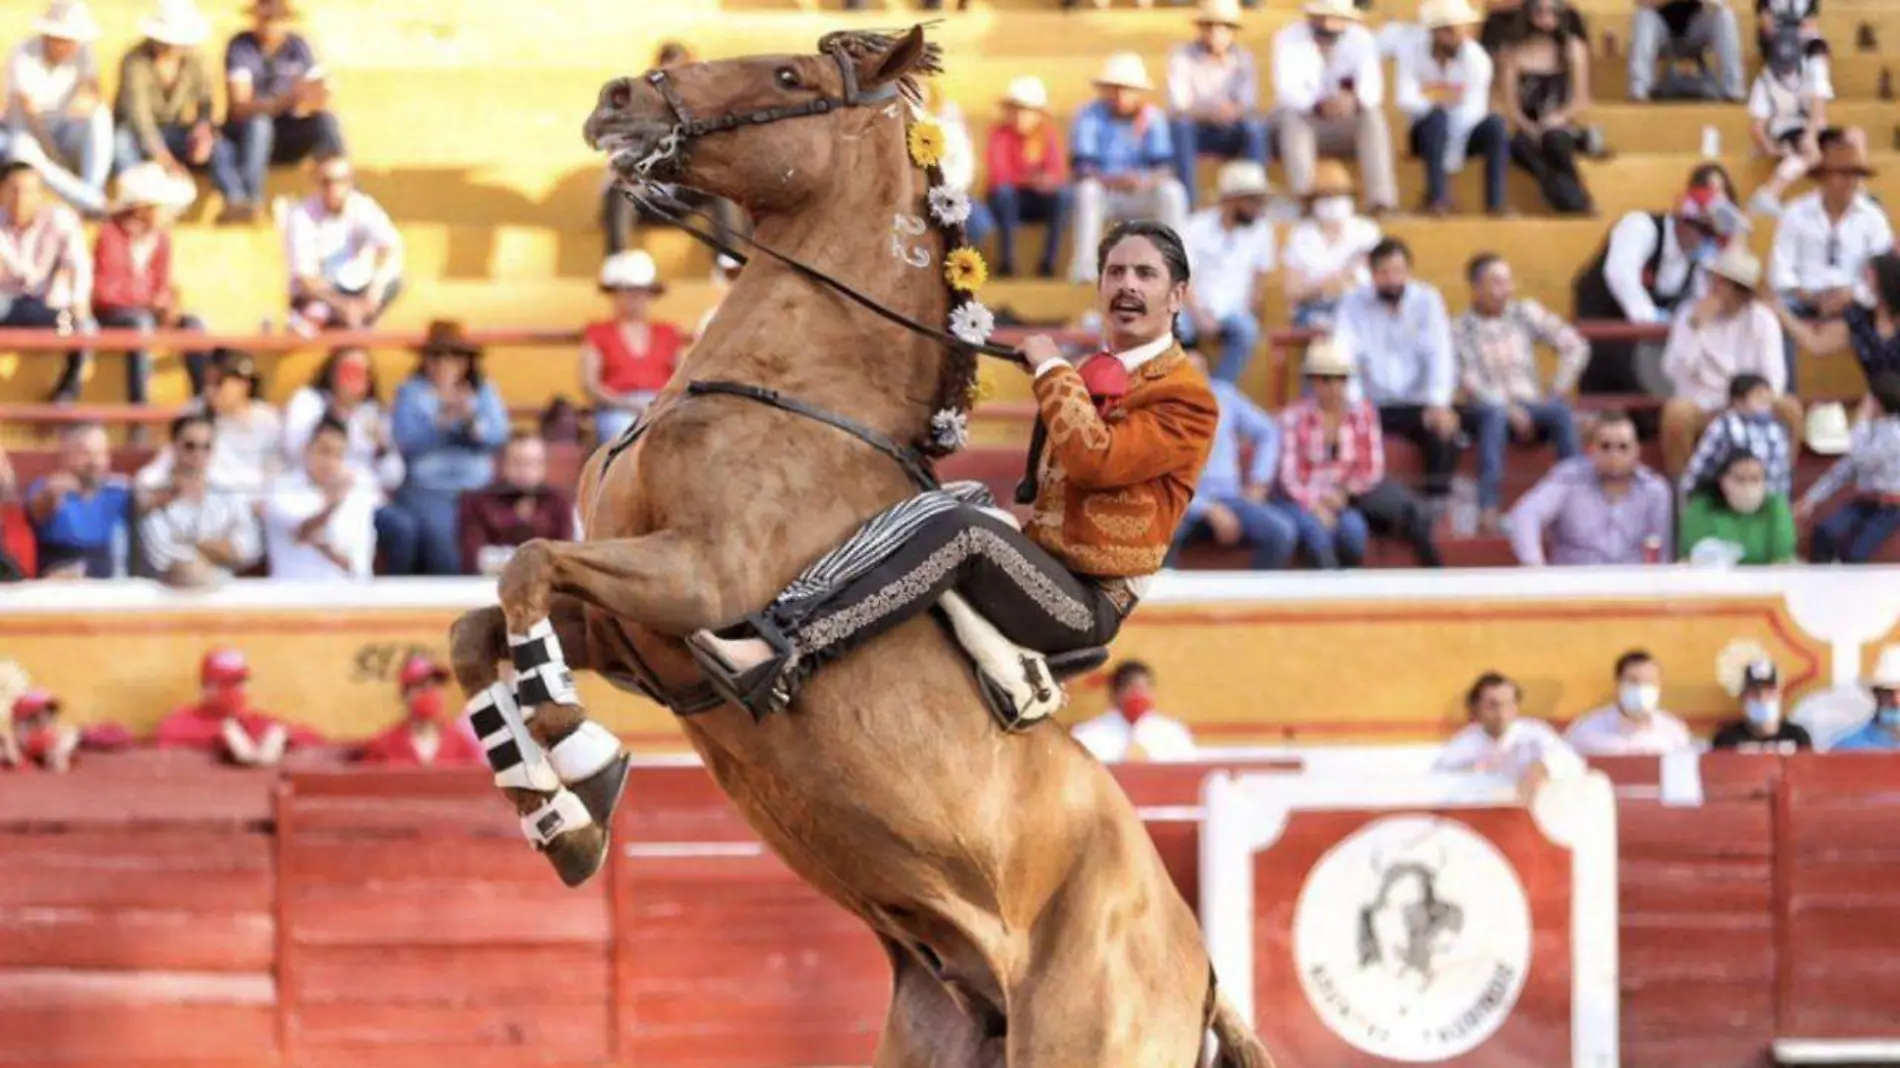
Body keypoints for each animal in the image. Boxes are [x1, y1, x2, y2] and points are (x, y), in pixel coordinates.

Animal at [444, 24, 1269, 1064]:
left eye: (788, 73)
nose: (617, 97)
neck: (800, 391)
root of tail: (1203, 974)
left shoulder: (695, 580)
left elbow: (526, 564)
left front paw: (577, 743)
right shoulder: (632, 633)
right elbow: (480, 624)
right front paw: (564, 816)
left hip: (1081, 1037)